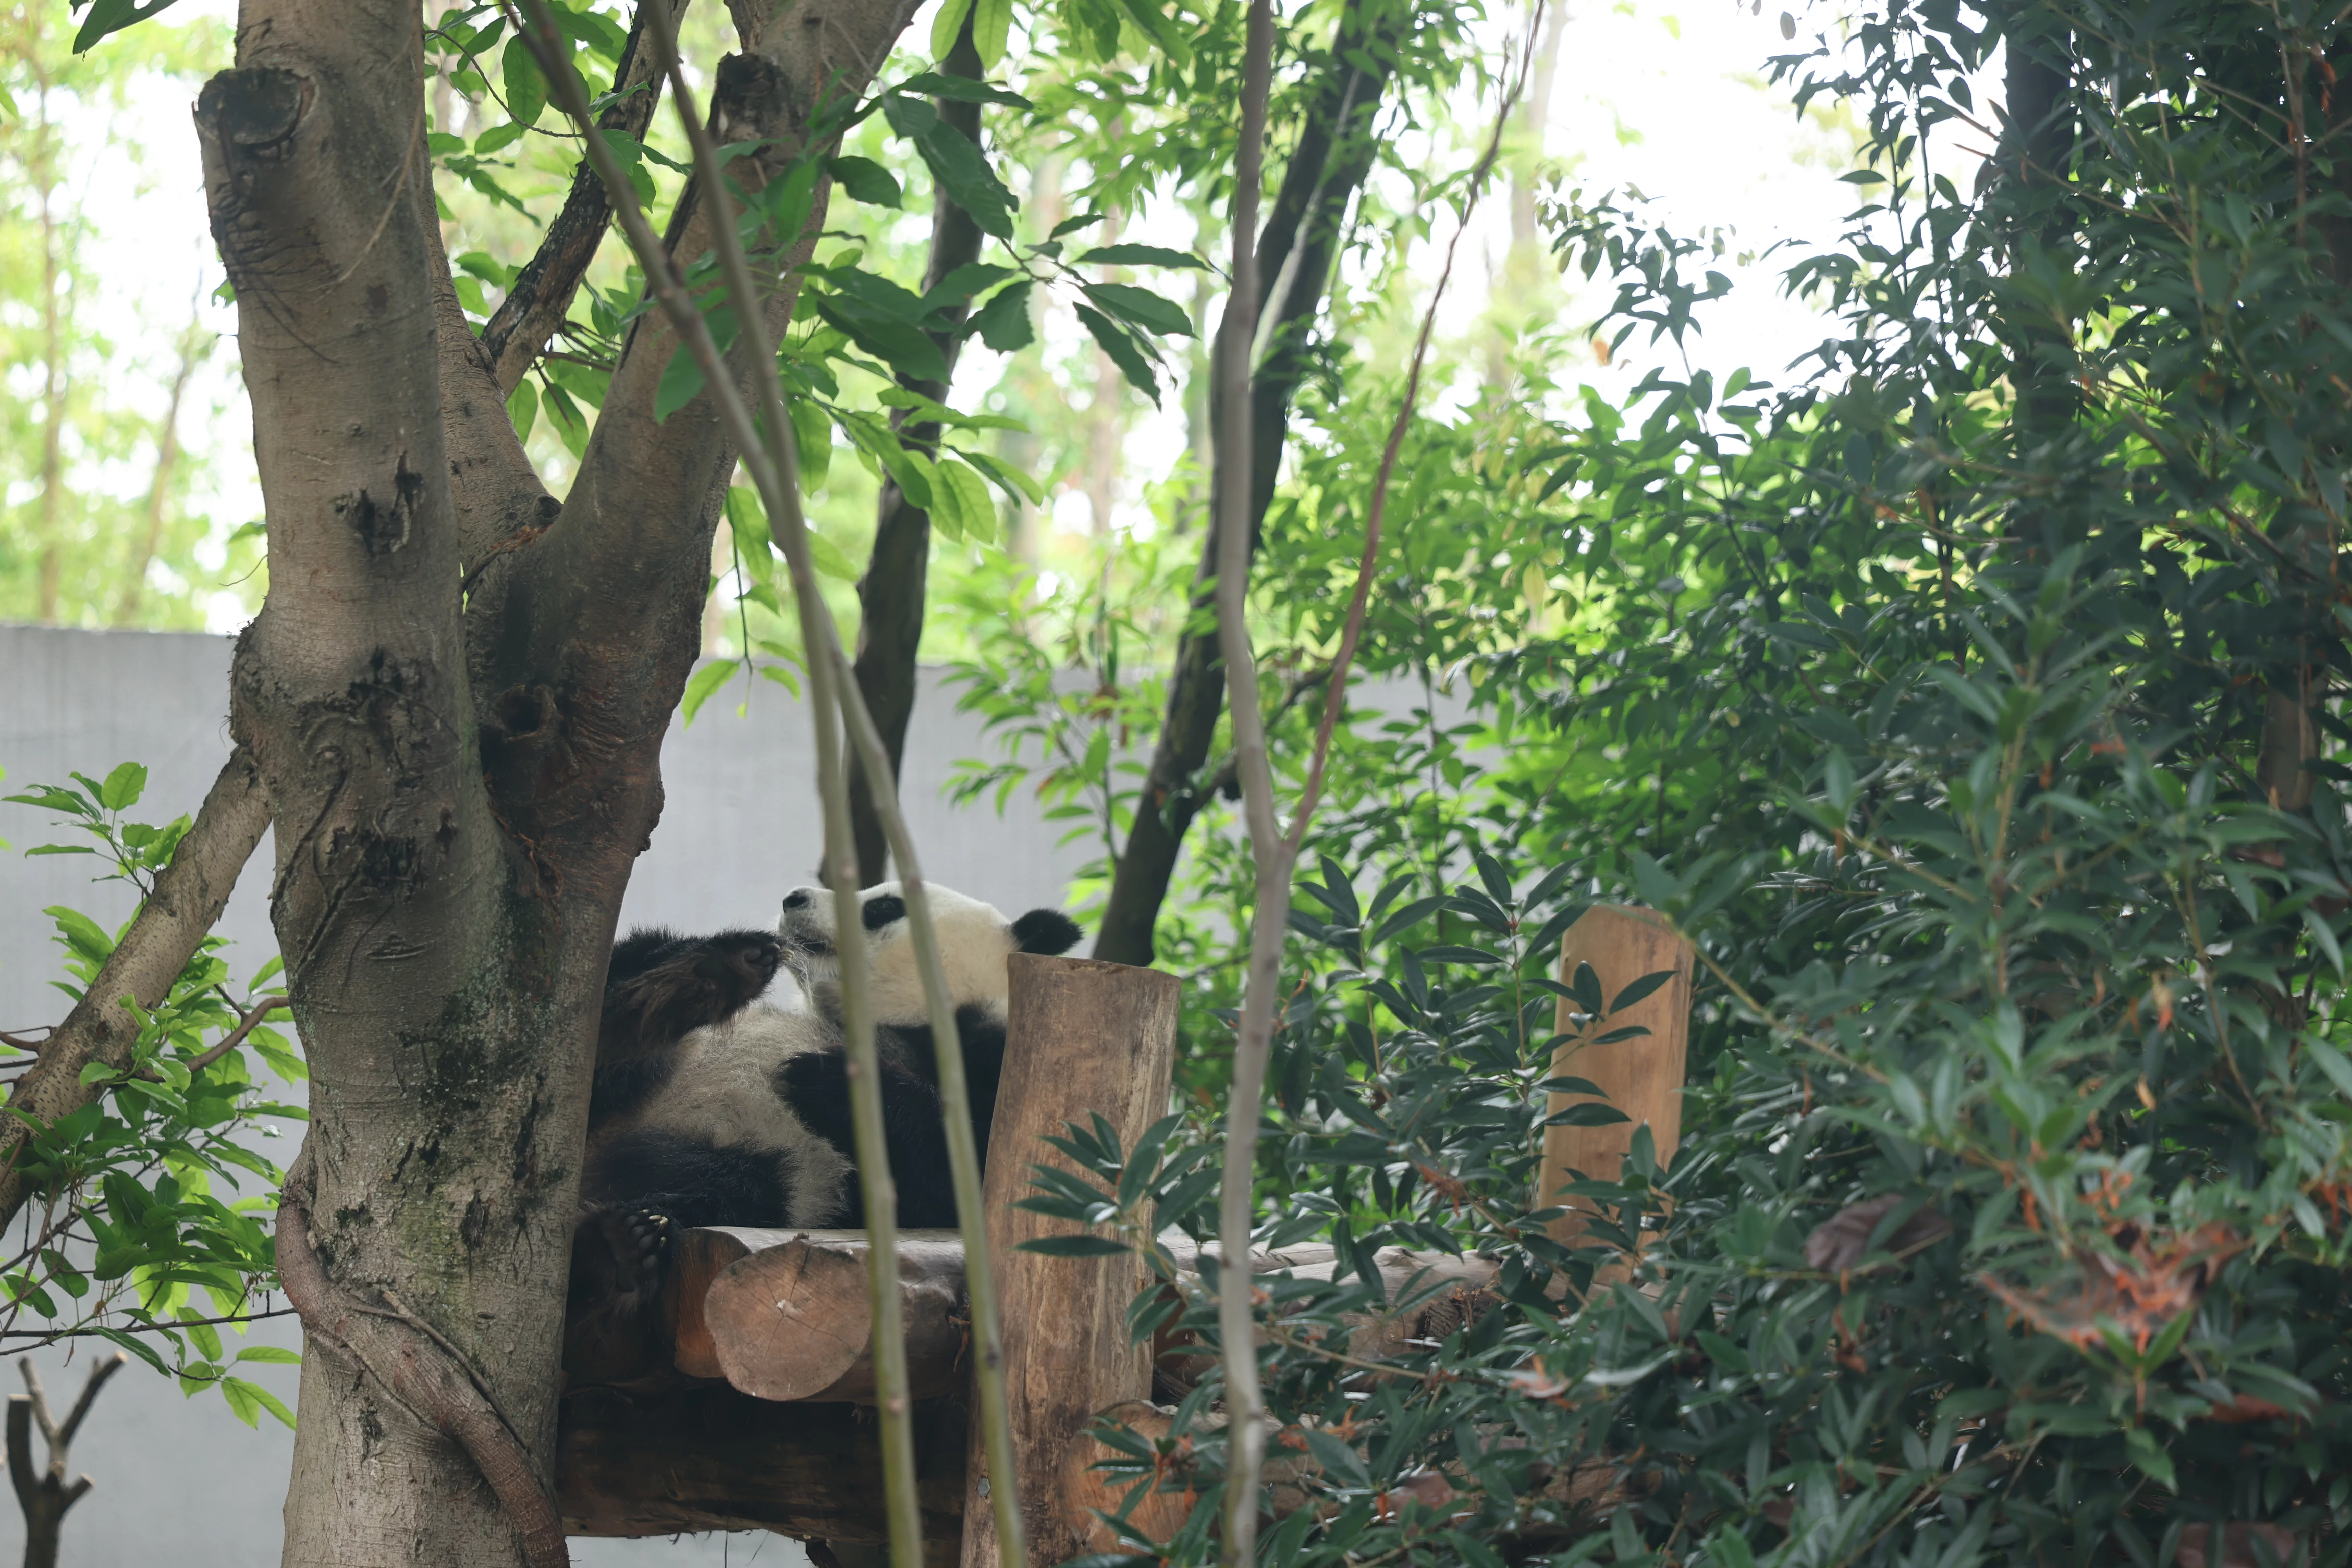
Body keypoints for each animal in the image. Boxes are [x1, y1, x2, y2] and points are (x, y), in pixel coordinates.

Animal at [564, 880, 1084, 1375]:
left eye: (884, 907)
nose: (794, 898)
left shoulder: (998, 1067)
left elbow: (966, 1179)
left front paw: (828, 1081)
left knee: (745, 1185)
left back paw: (621, 1251)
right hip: (651, 1076)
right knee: (619, 1026)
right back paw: (708, 973)